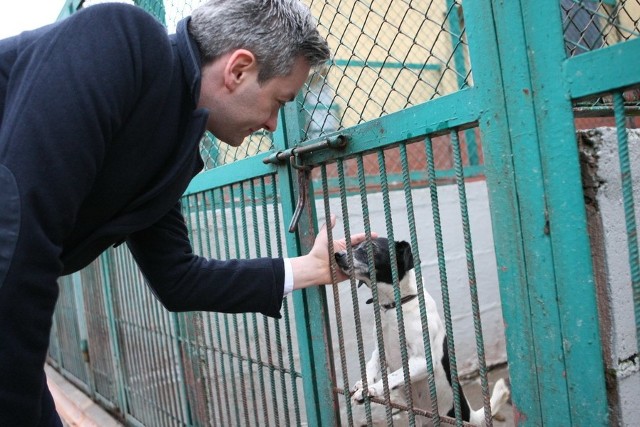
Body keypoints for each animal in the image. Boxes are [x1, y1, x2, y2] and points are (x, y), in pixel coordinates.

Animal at [336, 239, 510, 426]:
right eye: (354, 245)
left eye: (372, 247)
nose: (337, 255)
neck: (396, 305)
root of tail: (471, 416)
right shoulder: (379, 351)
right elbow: (370, 367)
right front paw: (363, 384)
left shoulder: (423, 360)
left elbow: (393, 376)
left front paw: (371, 389)